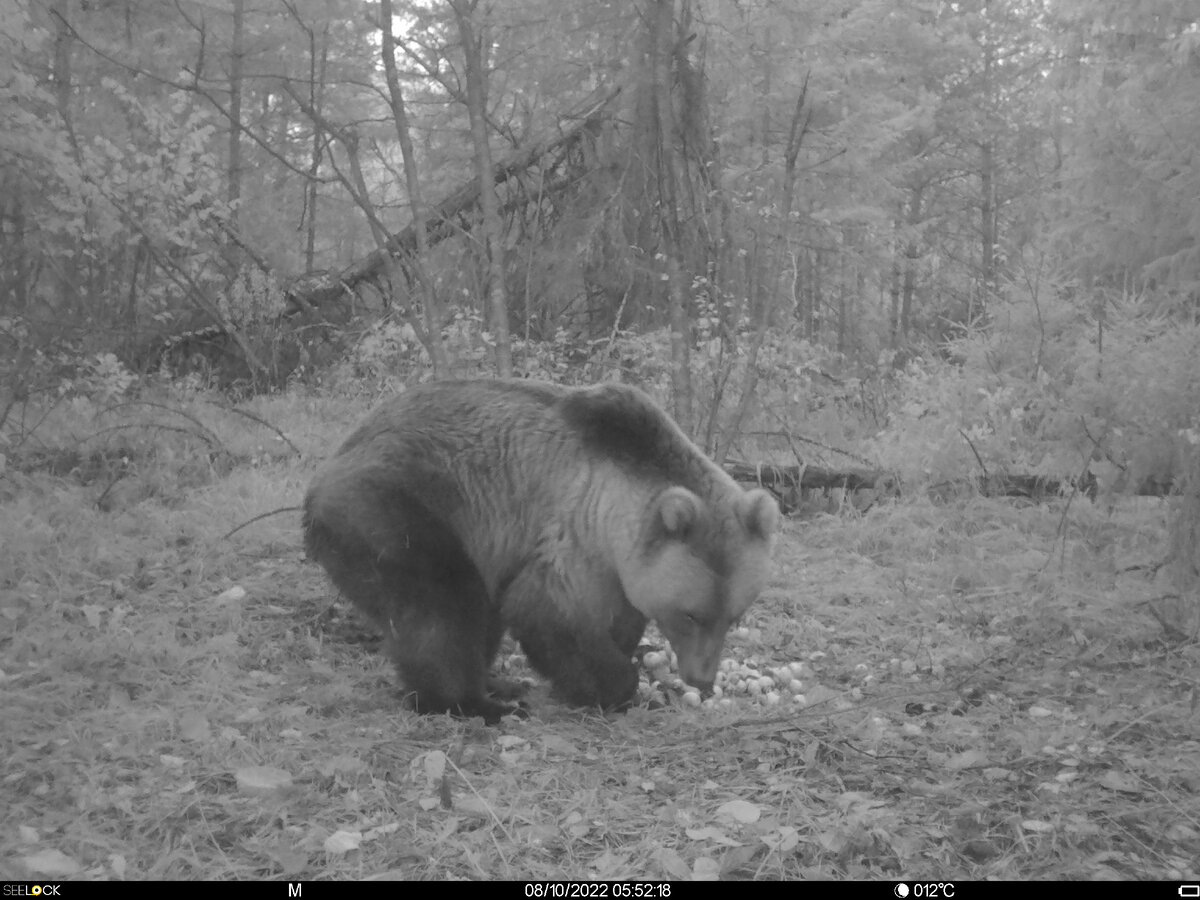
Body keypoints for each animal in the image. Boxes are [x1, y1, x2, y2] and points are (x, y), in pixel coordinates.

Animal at [302, 381, 777, 724]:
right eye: (691, 614)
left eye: (733, 615)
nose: (703, 677)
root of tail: (328, 466)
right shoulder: (571, 533)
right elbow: (548, 614)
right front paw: (622, 686)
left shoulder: (617, 572)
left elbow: (616, 621)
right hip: (395, 508)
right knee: (443, 604)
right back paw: (474, 703)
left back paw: (499, 684)